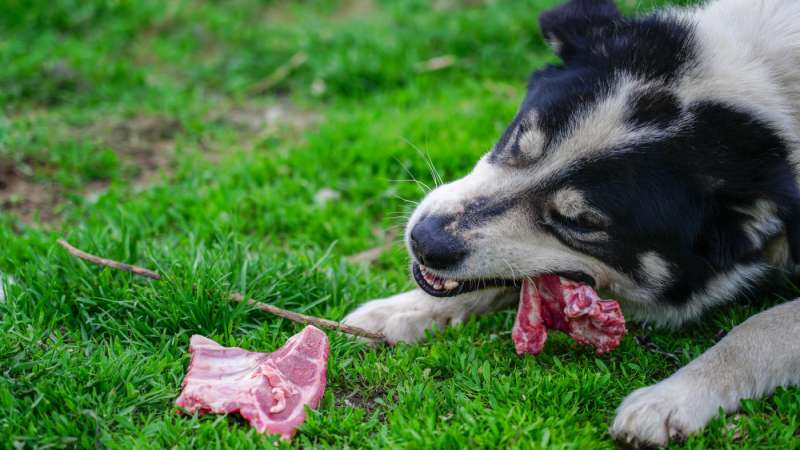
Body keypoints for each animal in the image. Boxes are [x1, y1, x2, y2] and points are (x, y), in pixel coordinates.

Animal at [342, 0, 800, 446]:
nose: (423, 240)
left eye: (580, 222)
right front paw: (401, 310)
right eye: (518, 140)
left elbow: (762, 326)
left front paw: (673, 396)